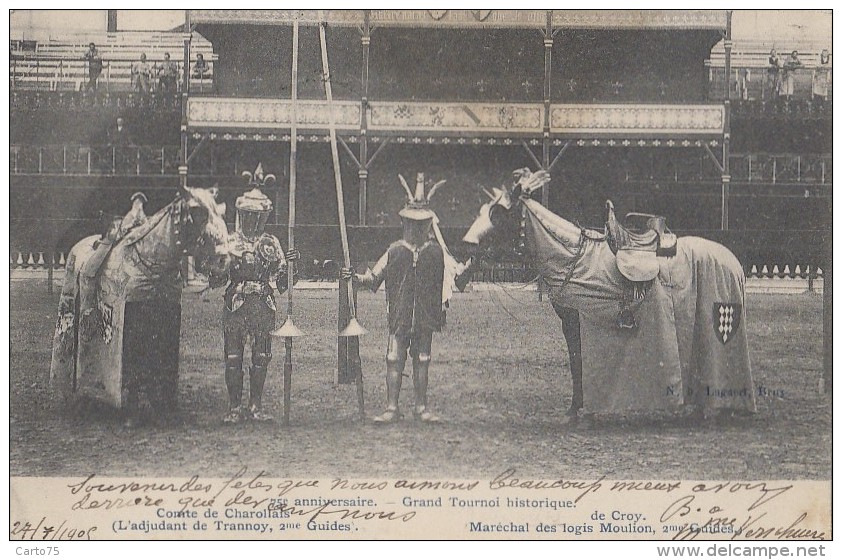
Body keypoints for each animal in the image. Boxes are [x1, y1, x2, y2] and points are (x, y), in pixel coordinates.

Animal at [52, 185, 230, 424]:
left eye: (221, 211)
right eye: (197, 211)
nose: (223, 260)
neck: (150, 260)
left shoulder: (165, 315)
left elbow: (159, 366)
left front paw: (162, 407)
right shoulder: (131, 320)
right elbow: (133, 370)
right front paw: (132, 413)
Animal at [460, 171, 756, 420]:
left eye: (499, 214)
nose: (466, 246)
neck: (572, 257)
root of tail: (733, 263)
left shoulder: (574, 319)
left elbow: (577, 361)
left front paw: (576, 409)